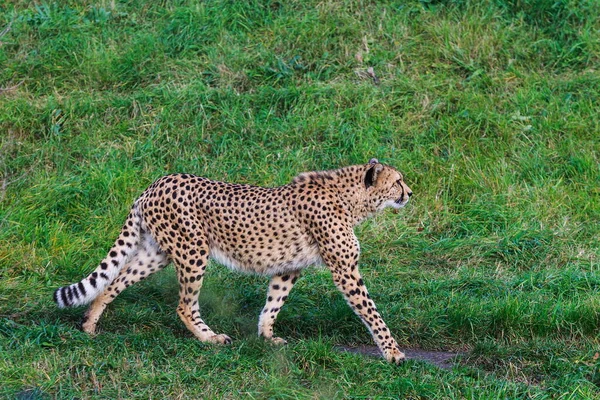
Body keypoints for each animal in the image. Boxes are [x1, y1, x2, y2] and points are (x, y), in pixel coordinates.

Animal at [54, 159, 412, 362]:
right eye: (397, 181)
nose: (409, 193)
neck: (350, 198)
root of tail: (155, 183)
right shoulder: (345, 270)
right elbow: (371, 313)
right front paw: (393, 352)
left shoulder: (289, 267)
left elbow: (273, 302)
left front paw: (266, 336)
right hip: (193, 251)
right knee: (184, 305)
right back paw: (210, 338)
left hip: (157, 253)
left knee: (115, 279)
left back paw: (89, 324)